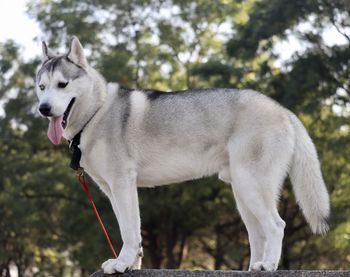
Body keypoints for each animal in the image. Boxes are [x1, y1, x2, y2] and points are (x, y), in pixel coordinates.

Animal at [36, 36, 330, 272]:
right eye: (41, 87)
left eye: (62, 84)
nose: (43, 108)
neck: (96, 112)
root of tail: (283, 110)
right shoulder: (112, 190)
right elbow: (129, 230)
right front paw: (131, 264)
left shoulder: (122, 183)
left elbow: (130, 231)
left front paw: (122, 264)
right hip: (243, 193)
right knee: (258, 234)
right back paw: (254, 266)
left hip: (252, 186)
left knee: (276, 226)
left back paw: (267, 265)